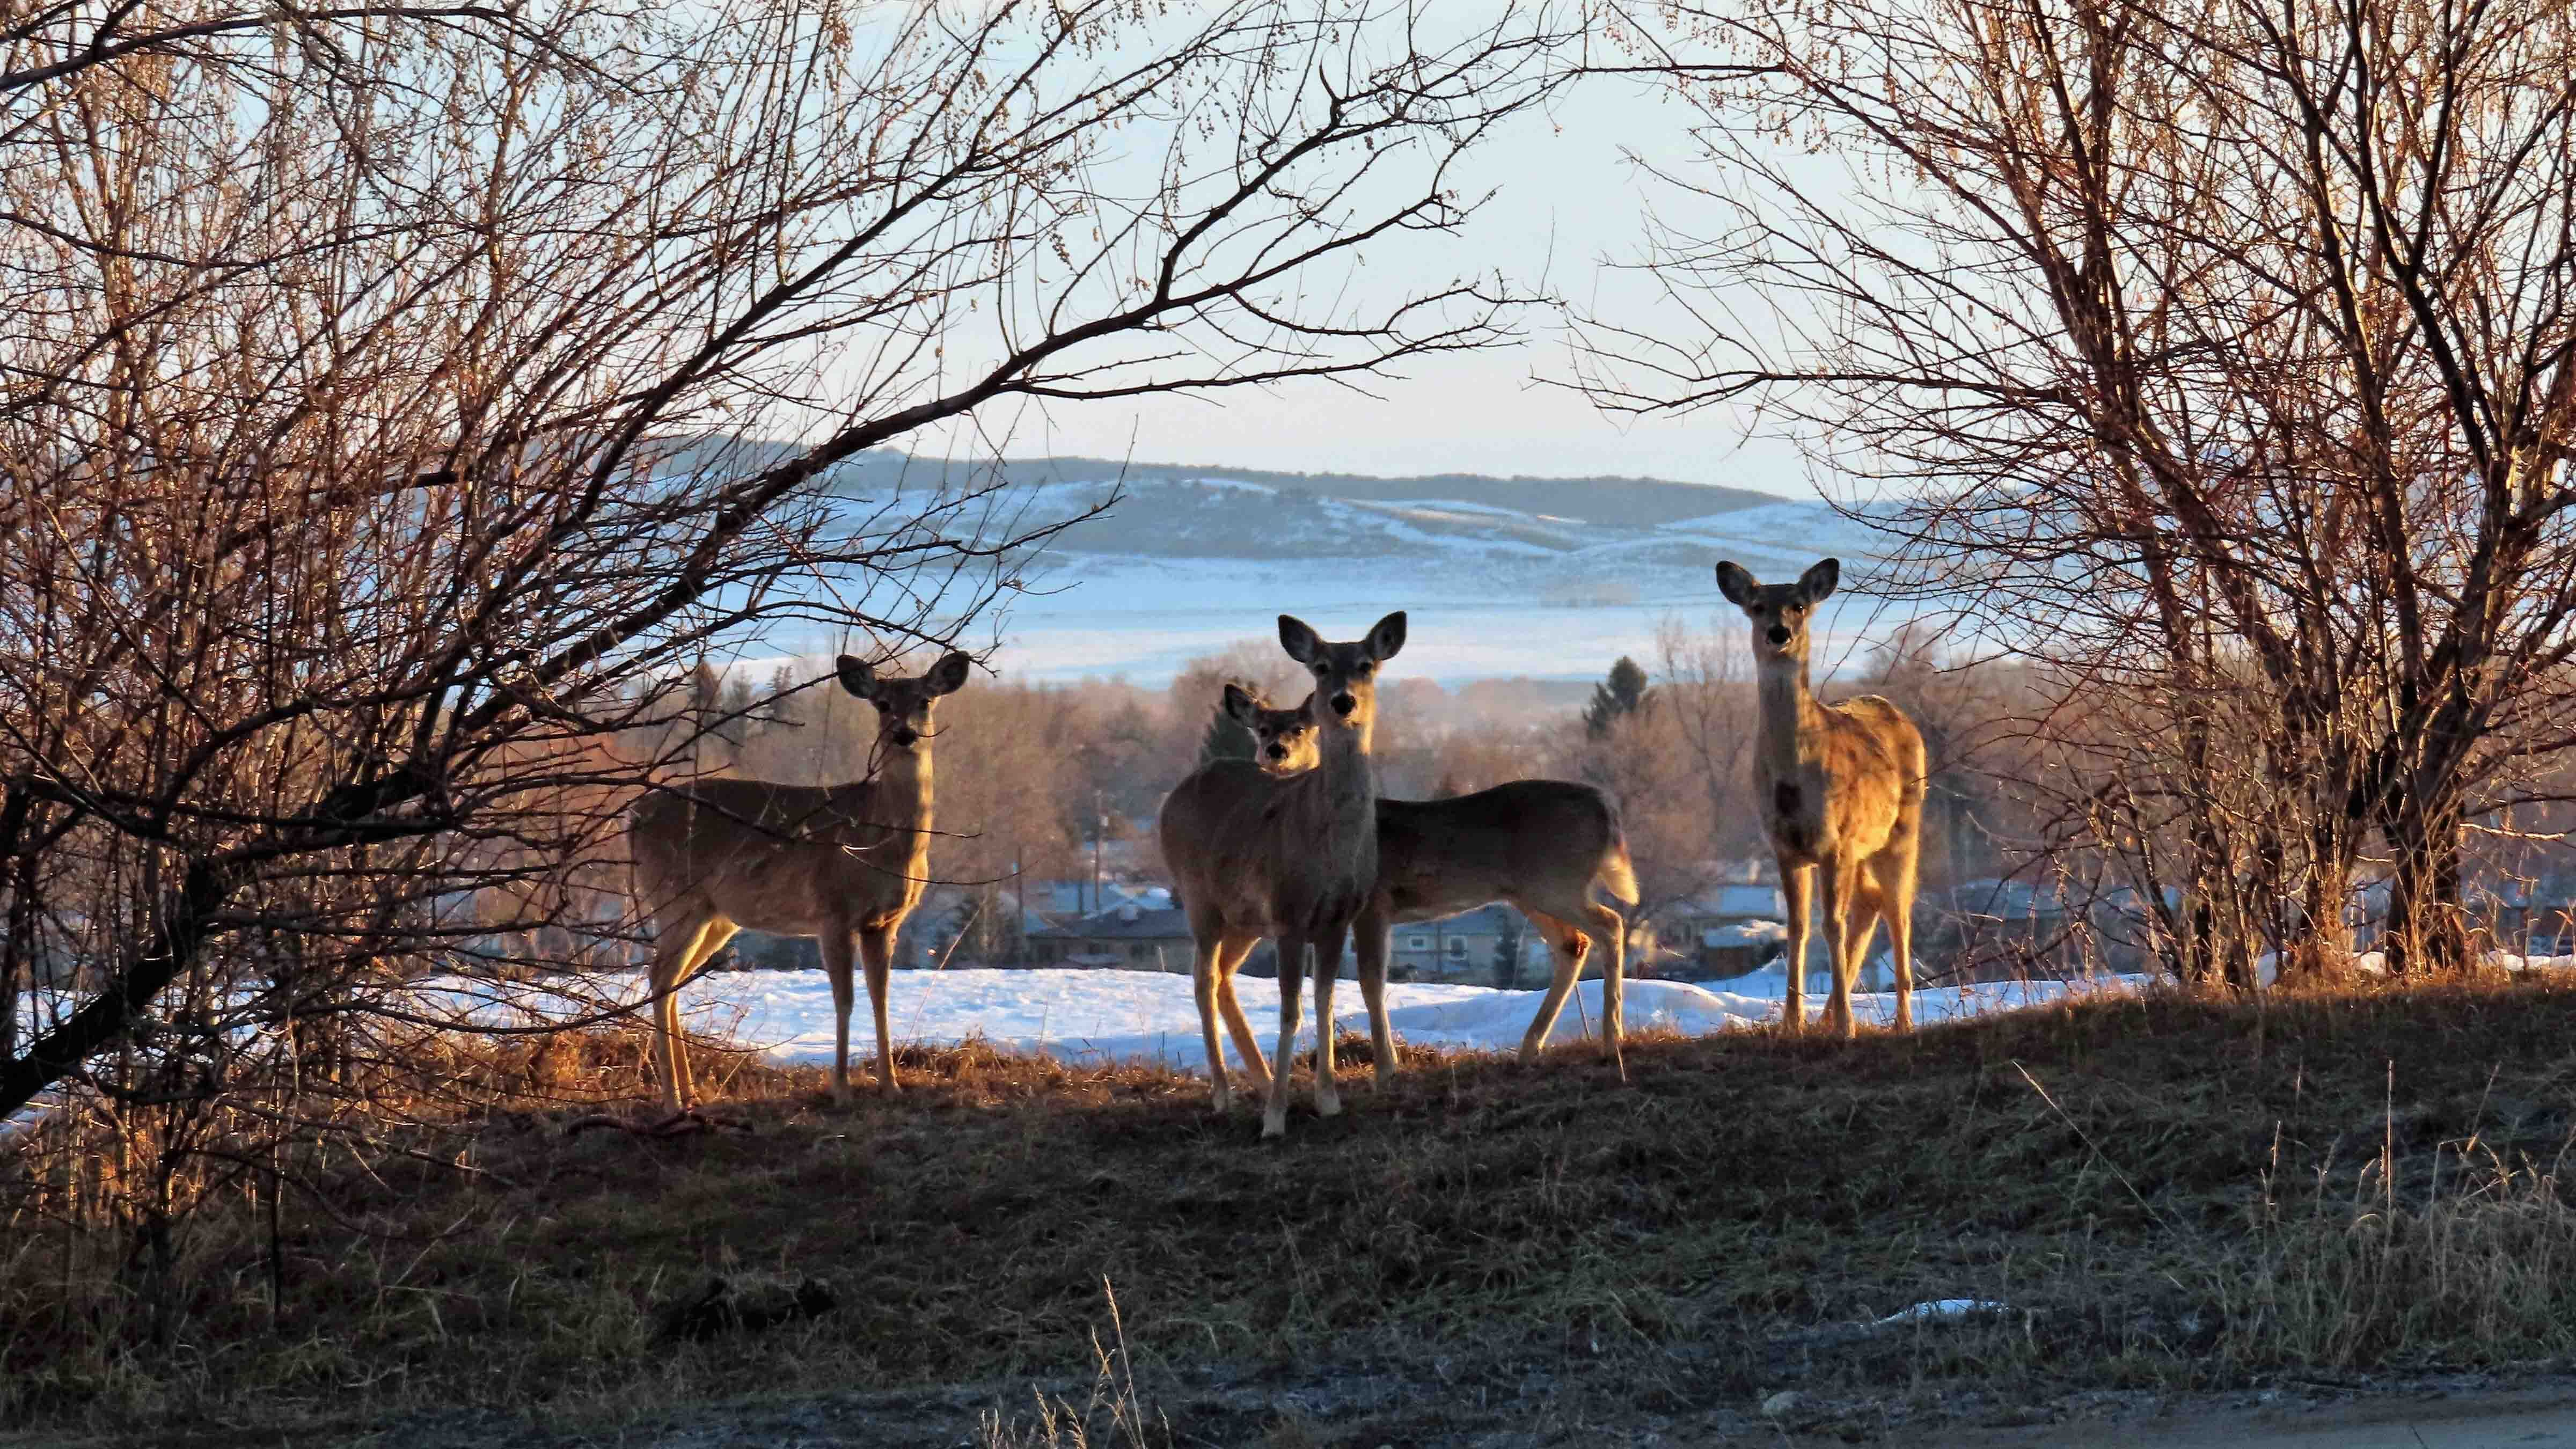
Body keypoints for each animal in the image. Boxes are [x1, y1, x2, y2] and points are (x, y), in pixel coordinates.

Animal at [626, 650, 971, 1114]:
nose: (904, 735)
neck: (881, 840)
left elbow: (880, 998)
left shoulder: (884, 922)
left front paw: (891, 1086)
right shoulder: (832, 911)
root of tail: (633, 818)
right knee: (659, 975)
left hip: (715, 915)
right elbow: (845, 999)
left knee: (673, 979)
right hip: (675, 897)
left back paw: (691, 1091)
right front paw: (841, 1089)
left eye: (925, 701)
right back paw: (673, 1100)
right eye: (881, 703)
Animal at [1155, 612, 1404, 1139]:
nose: (1343, 701)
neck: (1330, 852)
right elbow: (1291, 1011)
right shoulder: (1290, 914)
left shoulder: (1337, 919)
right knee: (1203, 978)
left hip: (1244, 919)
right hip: (1198, 897)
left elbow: (1325, 1003)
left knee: (1224, 977)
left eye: (1366, 664)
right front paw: (1275, 1117)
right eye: (1321, 666)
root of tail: (1174, 795)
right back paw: (1224, 1093)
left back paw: (1261, 1077)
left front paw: (1328, 1100)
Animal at [1239, 693, 1638, 1076]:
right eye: (1261, 729)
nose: (1276, 750)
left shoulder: (1375, 903)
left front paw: (1387, 1064)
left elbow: (1372, 981)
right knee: (1574, 943)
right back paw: (1530, 1049)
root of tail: (1607, 808)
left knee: (1610, 924)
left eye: (1301, 729)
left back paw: (1611, 1041)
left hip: (1557, 883)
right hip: (1529, 893)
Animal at [1714, 557, 1926, 1036]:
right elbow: (1797, 928)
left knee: (1898, 909)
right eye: (1757, 606)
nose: (1779, 633)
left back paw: (1902, 1020)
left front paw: (1847, 1025)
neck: (1794, 778)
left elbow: (1832, 925)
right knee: (1870, 902)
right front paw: (1791, 1025)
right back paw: (1828, 1014)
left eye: (1798, 604)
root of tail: (1899, 714)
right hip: (1865, 846)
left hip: (1903, 830)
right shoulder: (1784, 846)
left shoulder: (1835, 841)